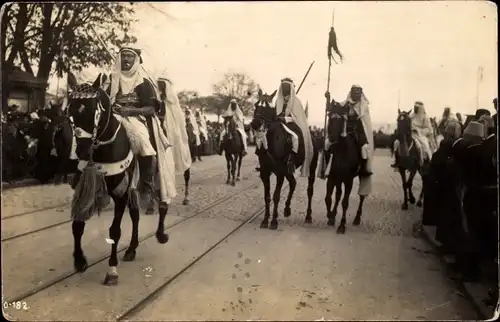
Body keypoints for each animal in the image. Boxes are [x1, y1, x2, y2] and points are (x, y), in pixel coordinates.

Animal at [66, 76, 170, 286]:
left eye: (93, 111)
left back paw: (161, 234)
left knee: (161, 204)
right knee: (136, 215)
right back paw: (131, 249)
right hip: (132, 189)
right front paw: (79, 261)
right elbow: (77, 225)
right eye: (70, 112)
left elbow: (114, 231)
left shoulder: (120, 193)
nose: (81, 151)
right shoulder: (85, 189)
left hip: (154, 177)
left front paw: (112, 271)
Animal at [249, 88, 318, 229]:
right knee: (293, 183)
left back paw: (308, 216)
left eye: (269, 107)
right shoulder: (265, 172)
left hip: (311, 168)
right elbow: (267, 197)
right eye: (256, 105)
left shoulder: (280, 172)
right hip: (288, 170)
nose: (255, 123)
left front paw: (273, 222)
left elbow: (276, 196)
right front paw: (265, 220)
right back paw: (287, 209)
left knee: (309, 190)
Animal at [324, 99, 368, 233]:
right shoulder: (333, 177)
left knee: (362, 196)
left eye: (341, 120)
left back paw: (357, 218)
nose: (332, 138)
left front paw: (342, 225)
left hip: (361, 177)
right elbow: (329, 198)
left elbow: (345, 202)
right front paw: (330, 216)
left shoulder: (348, 180)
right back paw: (333, 215)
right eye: (330, 117)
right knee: (338, 195)